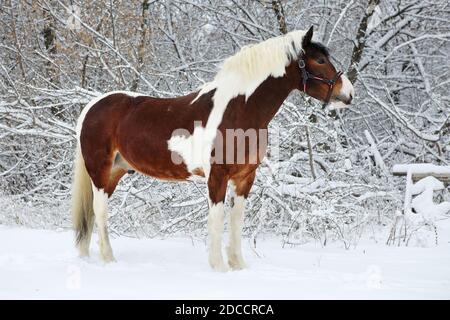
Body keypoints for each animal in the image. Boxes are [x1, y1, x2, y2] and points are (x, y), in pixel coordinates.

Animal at [71, 27, 352, 272]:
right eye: (319, 60)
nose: (348, 93)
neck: (239, 110)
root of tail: (92, 107)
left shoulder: (245, 178)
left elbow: (237, 220)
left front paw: (238, 266)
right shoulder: (217, 176)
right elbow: (216, 219)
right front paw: (219, 267)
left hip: (115, 172)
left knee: (92, 214)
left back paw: (86, 256)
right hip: (100, 171)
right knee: (100, 211)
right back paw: (108, 259)